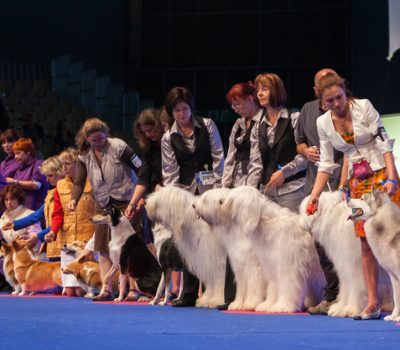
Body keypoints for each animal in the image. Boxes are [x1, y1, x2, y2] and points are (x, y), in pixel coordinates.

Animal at [346, 190, 400, 322]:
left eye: (362, 198)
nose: (347, 198)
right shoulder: (394, 276)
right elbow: (397, 298)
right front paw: (393, 316)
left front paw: (398, 318)